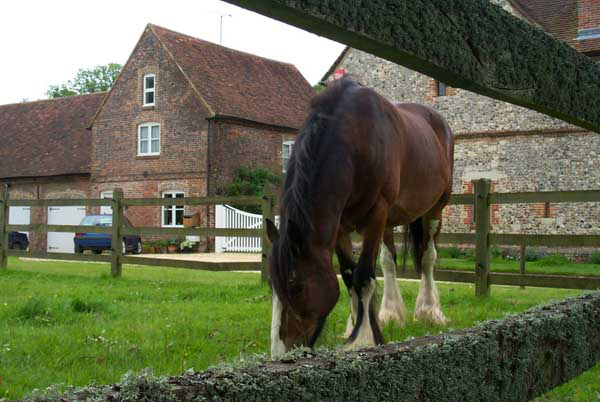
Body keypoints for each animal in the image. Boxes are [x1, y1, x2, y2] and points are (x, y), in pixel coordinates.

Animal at [264, 77, 452, 356]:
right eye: (273, 287)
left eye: (297, 287)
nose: (281, 352)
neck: (356, 140)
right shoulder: (340, 225)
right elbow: (349, 275)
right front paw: (354, 326)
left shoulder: (377, 213)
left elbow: (363, 276)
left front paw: (361, 339)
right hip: (389, 221)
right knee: (389, 261)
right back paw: (391, 313)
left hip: (434, 210)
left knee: (428, 257)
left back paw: (429, 311)